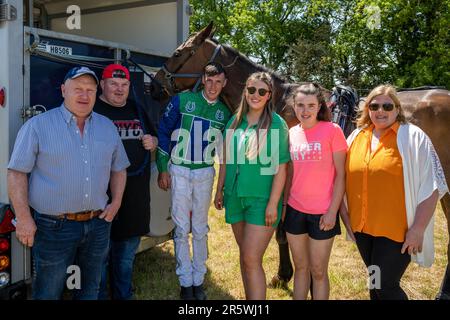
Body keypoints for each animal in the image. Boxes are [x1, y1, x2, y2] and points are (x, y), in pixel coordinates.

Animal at [150, 21, 450, 298]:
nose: (154, 85)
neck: (283, 102)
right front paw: (287, 275)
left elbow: (282, 231)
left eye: (178, 53)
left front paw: (285, 275)